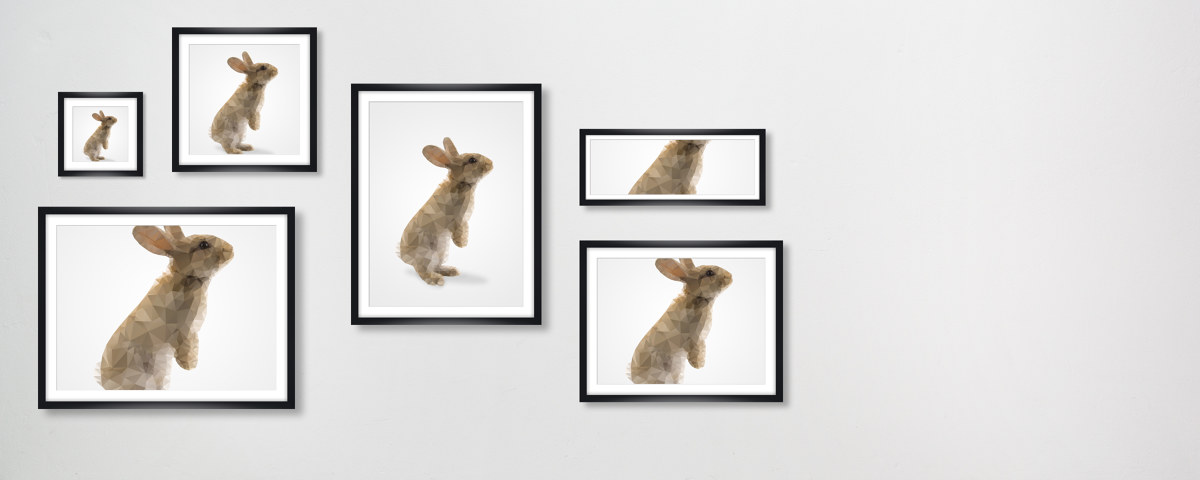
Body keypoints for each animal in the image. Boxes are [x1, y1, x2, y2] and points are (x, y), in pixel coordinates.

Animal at [96, 226, 235, 390]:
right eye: (203, 245)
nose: (231, 249)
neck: (187, 276)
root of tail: (105, 382)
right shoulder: (184, 330)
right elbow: (187, 348)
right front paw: (190, 366)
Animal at [397, 137, 494, 286]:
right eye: (472, 160)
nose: (491, 163)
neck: (461, 183)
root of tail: (404, 257)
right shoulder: (456, 219)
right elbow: (459, 230)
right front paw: (462, 244)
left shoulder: (463, 219)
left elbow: (464, 228)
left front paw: (463, 243)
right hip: (426, 254)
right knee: (422, 270)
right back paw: (436, 280)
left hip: (441, 253)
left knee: (434, 266)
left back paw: (451, 271)